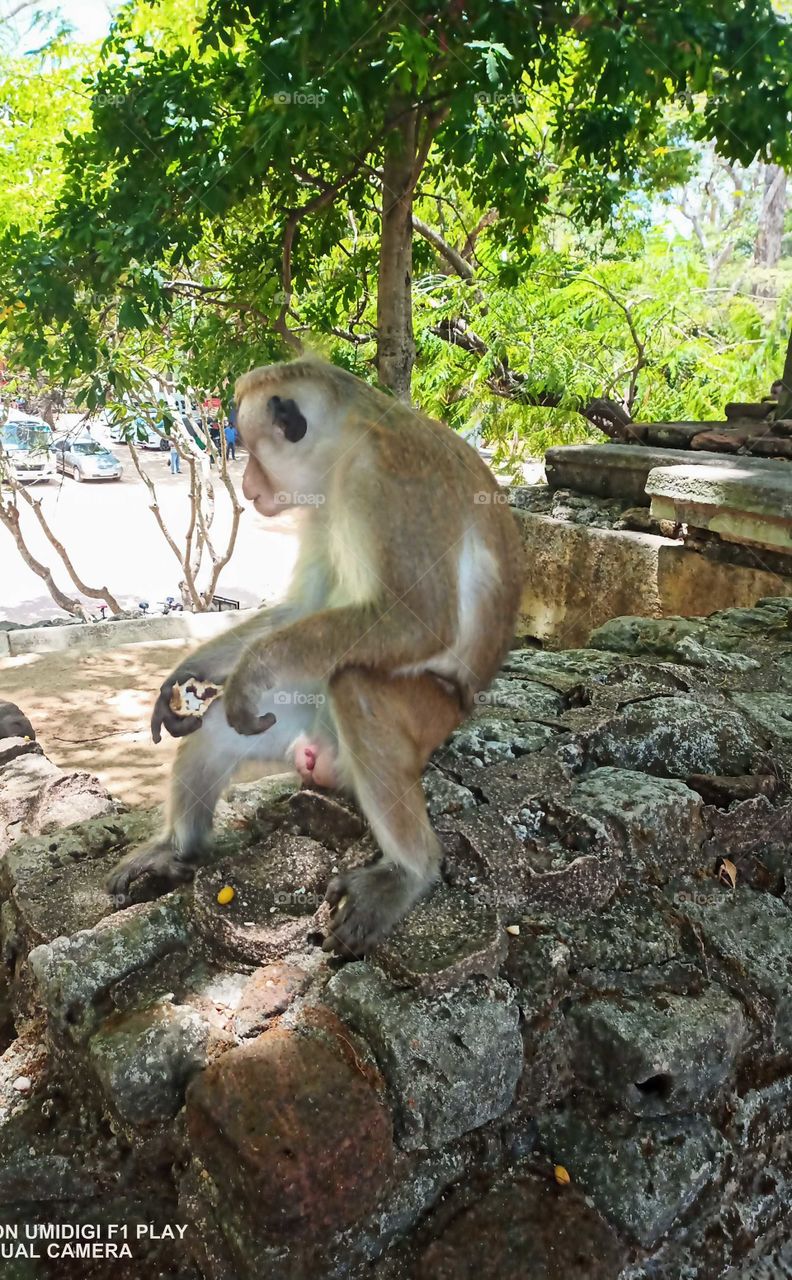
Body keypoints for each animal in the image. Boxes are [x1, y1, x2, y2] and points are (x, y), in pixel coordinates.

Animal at [107, 357, 522, 955]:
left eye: (250, 447)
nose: (248, 484)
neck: (344, 449)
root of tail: (326, 760)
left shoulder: (386, 482)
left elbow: (416, 619)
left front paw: (250, 671)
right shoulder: (323, 507)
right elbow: (304, 607)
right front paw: (189, 674)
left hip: (431, 718)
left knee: (355, 684)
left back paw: (410, 871)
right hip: (294, 722)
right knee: (220, 729)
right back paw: (176, 849)